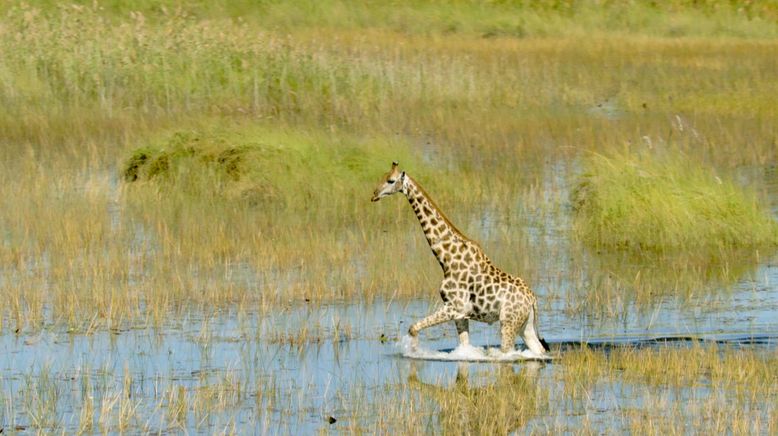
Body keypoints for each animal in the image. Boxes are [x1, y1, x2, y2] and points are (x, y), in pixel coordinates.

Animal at [368, 162, 544, 356]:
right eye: (383, 176)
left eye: (391, 180)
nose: (374, 194)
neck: (446, 258)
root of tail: (532, 298)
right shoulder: (460, 315)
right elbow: (463, 347)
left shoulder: (454, 308)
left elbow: (413, 327)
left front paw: (414, 352)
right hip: (525, 325)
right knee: (540, 349)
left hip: (508, 322)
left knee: (507, 351)